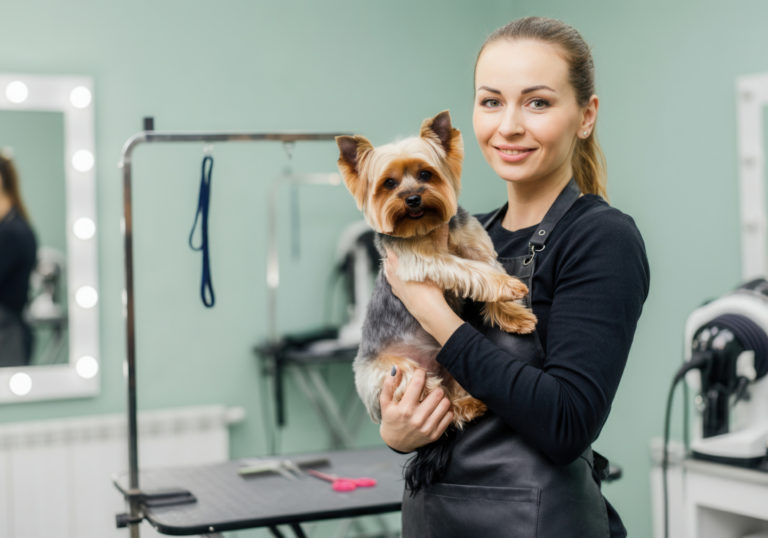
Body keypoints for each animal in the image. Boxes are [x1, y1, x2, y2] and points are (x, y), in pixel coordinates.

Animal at [336, 109, 536, 432]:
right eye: (389, 183)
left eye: (425, 175)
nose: (412, 198)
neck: (426, 226)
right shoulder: (422, 260)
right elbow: (469, 270)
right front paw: (508, 287)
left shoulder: (476, 243)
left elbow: (487, 265)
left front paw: (515, 316)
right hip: (394, 372)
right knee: (432, 393)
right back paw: (459, 407)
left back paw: (468, 404)